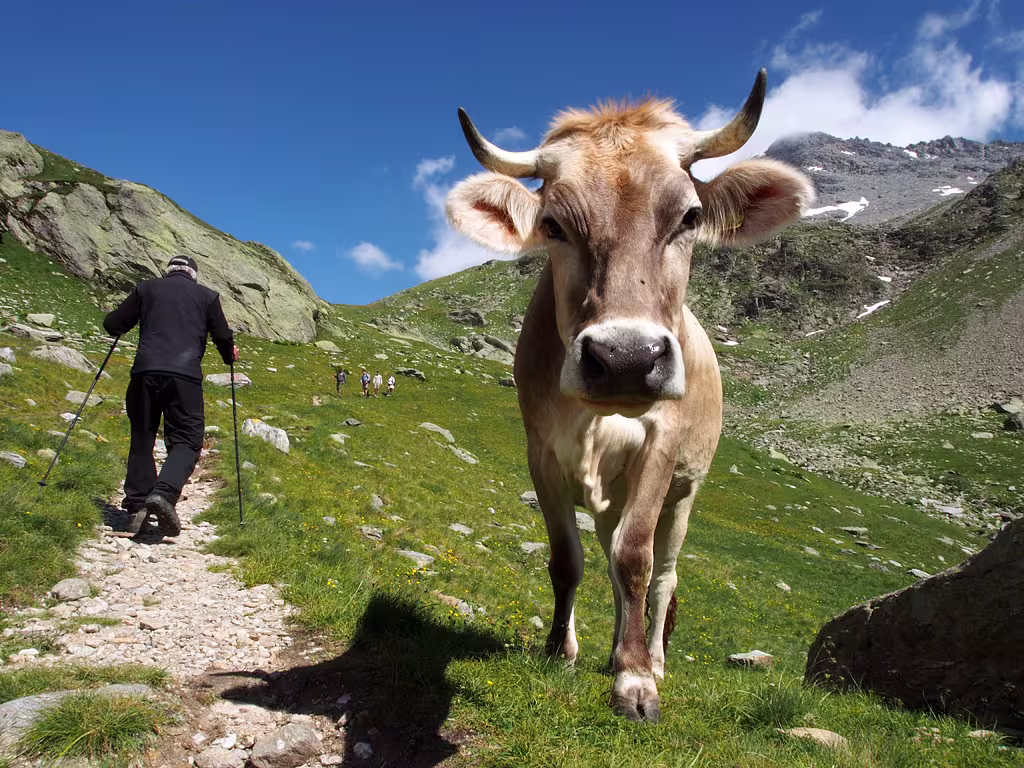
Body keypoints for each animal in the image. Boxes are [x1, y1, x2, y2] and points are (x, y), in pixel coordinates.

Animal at [445, 70, 814, 722]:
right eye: (553, 225)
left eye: (690, 216)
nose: (625, 359)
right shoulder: (541, 451)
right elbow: (569, 559)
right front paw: (561, 650)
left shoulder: (661, 447)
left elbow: (636, 559)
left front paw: (636, 679)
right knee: (613, 554)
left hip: (687, 491)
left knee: (662, 572)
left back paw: (653, 657)